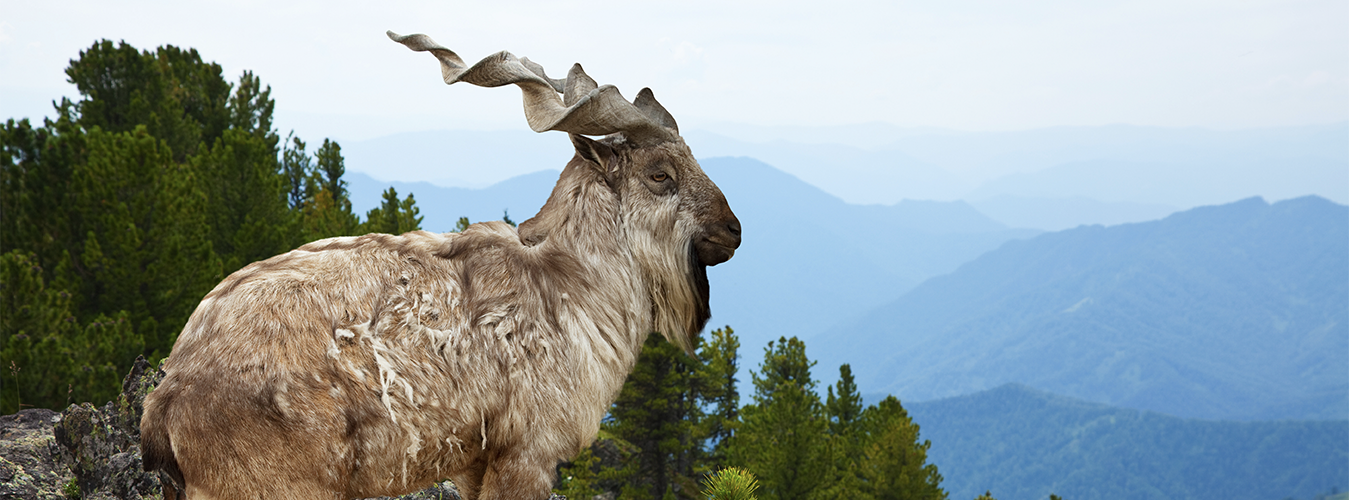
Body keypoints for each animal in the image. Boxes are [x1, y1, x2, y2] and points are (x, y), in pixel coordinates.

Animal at [139, 32, 739, 500]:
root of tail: (167, 398)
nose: (732, 231)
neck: (566, 286)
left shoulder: (472, 466)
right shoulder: (526, 456)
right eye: (660, 174)